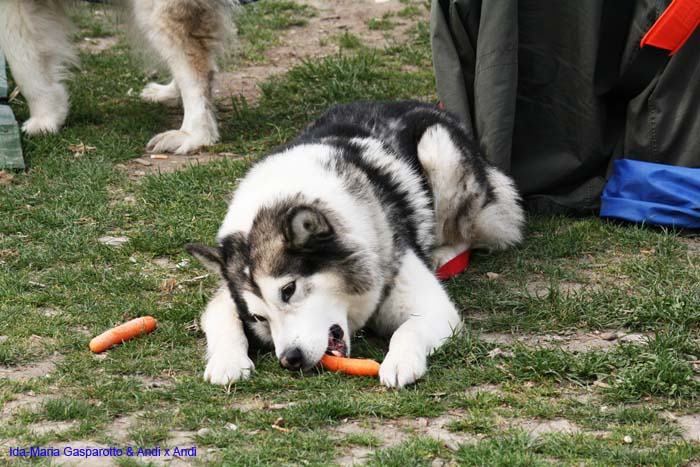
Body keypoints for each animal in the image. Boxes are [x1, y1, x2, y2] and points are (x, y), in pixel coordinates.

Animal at [187, 102, 524, 392]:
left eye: (288, 290)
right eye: (258, 318)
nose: (289, 360)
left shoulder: (434, 307)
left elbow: (407, 330)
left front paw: (400, 362)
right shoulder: (223, 300)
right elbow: (221, 321)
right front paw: (227, 362)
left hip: (438, 149)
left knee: (465, 233)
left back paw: (443, 254)